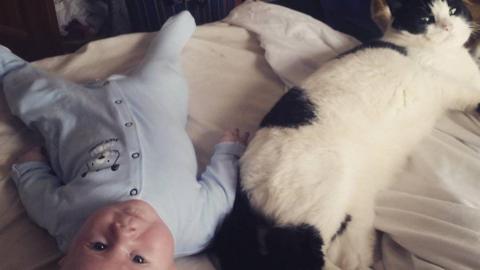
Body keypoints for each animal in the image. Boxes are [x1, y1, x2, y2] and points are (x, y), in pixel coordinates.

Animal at [212, 0, 480, 270]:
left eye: (453, 11)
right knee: (298, 256)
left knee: (346, 255)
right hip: (316, 202)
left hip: (351, 210)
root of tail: (242, 180)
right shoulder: (450, 86)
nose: (447, 26)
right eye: (425, 19)